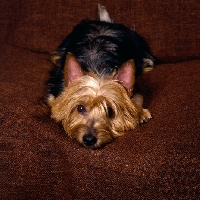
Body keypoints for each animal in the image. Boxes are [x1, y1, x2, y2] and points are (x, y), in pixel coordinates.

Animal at [47, 4, 155, 148]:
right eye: (80, 108)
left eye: (109, 111)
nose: (89, 140)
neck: (97, 68)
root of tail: (104, 22)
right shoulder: (55, 90)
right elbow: (56, 105)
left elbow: (136, 97)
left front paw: (140, 112)